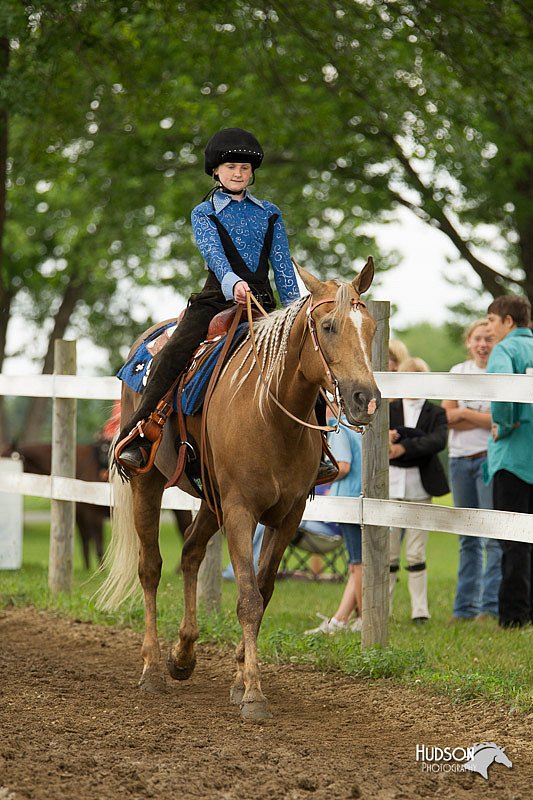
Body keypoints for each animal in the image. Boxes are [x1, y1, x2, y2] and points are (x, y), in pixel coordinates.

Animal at [0, 444, 191, 568]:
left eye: (8, 456)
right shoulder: (80, 517)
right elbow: (85, 543)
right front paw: (87, 568)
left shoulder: (94, 517)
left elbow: (98, 544)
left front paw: (100, 568)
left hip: (180, 511)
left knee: (185, 531)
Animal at [97, 260, 380, 720]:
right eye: (328, 326)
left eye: (371, 327)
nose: (365, 400)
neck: (270, 415)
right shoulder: (241, 511)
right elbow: (247, 597)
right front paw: (253, 694)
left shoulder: (288, 516)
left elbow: (262, 592)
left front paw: (238, 677)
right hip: (149, 483)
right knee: (151, 568)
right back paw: (153, 669)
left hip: (211, 502)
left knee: (190, 554)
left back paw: (182, 657)